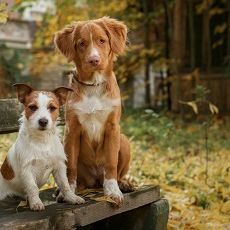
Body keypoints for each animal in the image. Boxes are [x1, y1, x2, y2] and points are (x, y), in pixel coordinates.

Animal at [54, 16, 133, 205]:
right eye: (81, 44)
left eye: (102, 41)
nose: (94, 60)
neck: (93, 85)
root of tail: (95, 182)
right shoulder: (71, 130)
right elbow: (71, 167)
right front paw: (69, 193)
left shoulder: (113, 128)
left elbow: (111, 163)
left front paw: (113, 191)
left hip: (124, 140)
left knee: (117, 173)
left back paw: (123, 184)